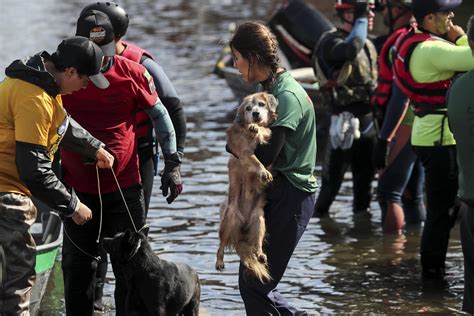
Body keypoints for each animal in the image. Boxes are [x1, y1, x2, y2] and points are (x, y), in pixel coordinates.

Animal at [215, 90, 278, 282]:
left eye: (261, 104)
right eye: (248, 108)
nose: (255, 114)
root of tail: (242, 228)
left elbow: (266, 130)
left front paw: (258, 129)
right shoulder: (244, 152)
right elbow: (256, 161)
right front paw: (263, 172)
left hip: (259, 221)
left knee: (257, 244)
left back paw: (260, 254)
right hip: (229, 220)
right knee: (221, 244)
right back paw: (219, 261)